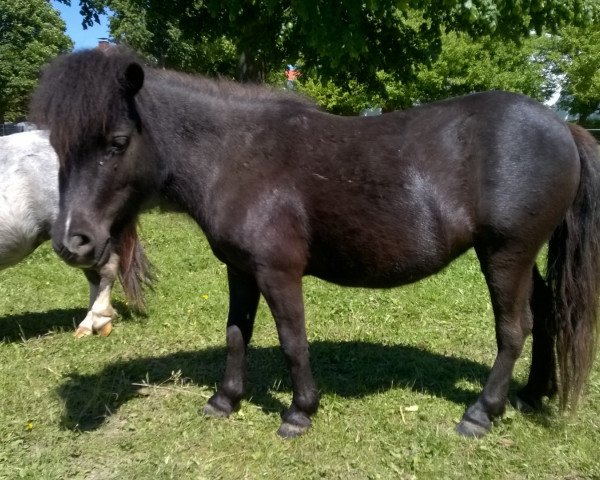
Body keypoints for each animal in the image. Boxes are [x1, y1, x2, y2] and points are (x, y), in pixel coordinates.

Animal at [30, 48, 600, 438]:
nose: (72, 242)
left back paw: (481, 413)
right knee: (547, 312)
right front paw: (224, 401)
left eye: (117, 142)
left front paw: (299, 412)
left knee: (514, 328)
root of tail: (563, 126)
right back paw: (533, 393)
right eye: (57, 146)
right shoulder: (241, 270)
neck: (236, 156)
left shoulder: (278, 272)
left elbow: (292, 340)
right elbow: (236, 333)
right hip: (521, 256)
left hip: (505, 253)